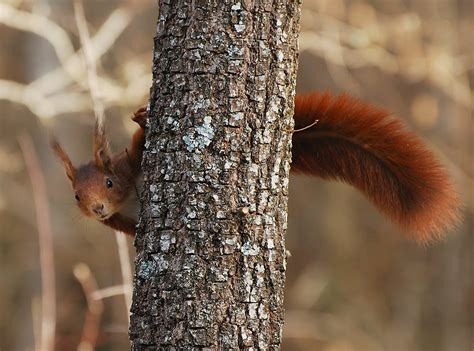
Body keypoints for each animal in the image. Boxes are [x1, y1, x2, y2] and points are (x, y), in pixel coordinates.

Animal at [51, 92, 460, 243]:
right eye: (75, 197)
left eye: (108, 182)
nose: (97, 209)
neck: (126, 200)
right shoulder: (118, 222)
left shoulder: (132, 162)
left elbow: (139, 140)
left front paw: (141, 117)